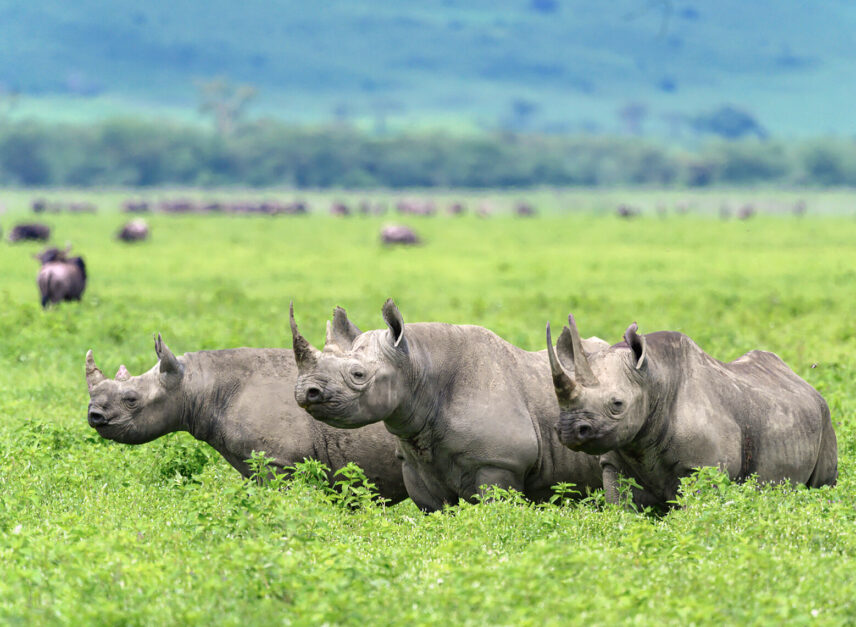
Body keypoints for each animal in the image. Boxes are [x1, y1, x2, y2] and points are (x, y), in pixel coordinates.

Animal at [290, 300, 606, 513]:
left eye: (358, 375)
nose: (306, 391)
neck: (418, 367)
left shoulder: (500, 463)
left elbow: (496, 511)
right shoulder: (415, 464)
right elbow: (436, 514)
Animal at [546, 315, 838, 509]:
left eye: (617, 404)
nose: (569, 430)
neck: (654, 380)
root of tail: (802, 380)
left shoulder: (704, 466)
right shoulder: (615, 460)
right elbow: (621, 507)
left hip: (825, 419)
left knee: (824, 485)